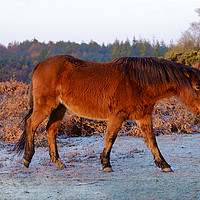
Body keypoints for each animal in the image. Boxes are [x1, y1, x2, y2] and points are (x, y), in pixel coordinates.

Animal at [14, 54, 200, 172]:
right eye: (197, 87)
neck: (137, 81)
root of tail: (40, 64)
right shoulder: (117, 115)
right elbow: (110, 138)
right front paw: (106, 164)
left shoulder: (144, 116)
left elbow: (152, 141)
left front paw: (164, 164)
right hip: (46, 106)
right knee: (31, 124)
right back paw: (27, 159)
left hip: (59, 108)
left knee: (51, 130)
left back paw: (58, 162)